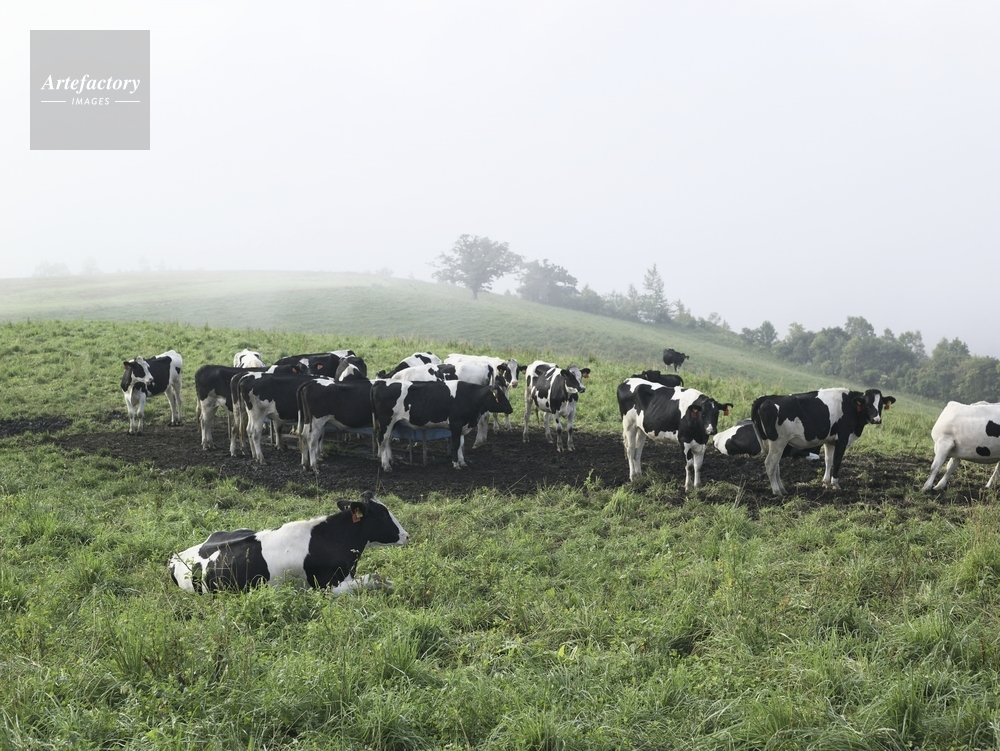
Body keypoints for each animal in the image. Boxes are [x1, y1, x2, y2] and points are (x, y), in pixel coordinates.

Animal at [372, 379, 513, 470]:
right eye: (500, 397)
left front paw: (462, 462)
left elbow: (461, 444)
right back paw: (386, 466)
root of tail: (381, 382)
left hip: (393, 423)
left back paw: (391, 461)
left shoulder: (462, 426)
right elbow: (456, 444)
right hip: (386, 421)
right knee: (382, 440)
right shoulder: (456, 424)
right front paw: (456, 464)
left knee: (387, 440)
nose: (511, 409)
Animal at [750, 388, 895, 497]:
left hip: (771, 443)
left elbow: (828, 460)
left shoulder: (829, 441)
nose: (876, 419)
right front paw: (835, 484)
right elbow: (837, 461)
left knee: (776, 466)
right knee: (770, 464)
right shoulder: (842, 439)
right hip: (778, 441)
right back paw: (777, 491)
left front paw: (826, 482)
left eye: (881, 405)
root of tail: (765, 398)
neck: (850, 406)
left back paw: (782, 489)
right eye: (867, 404)